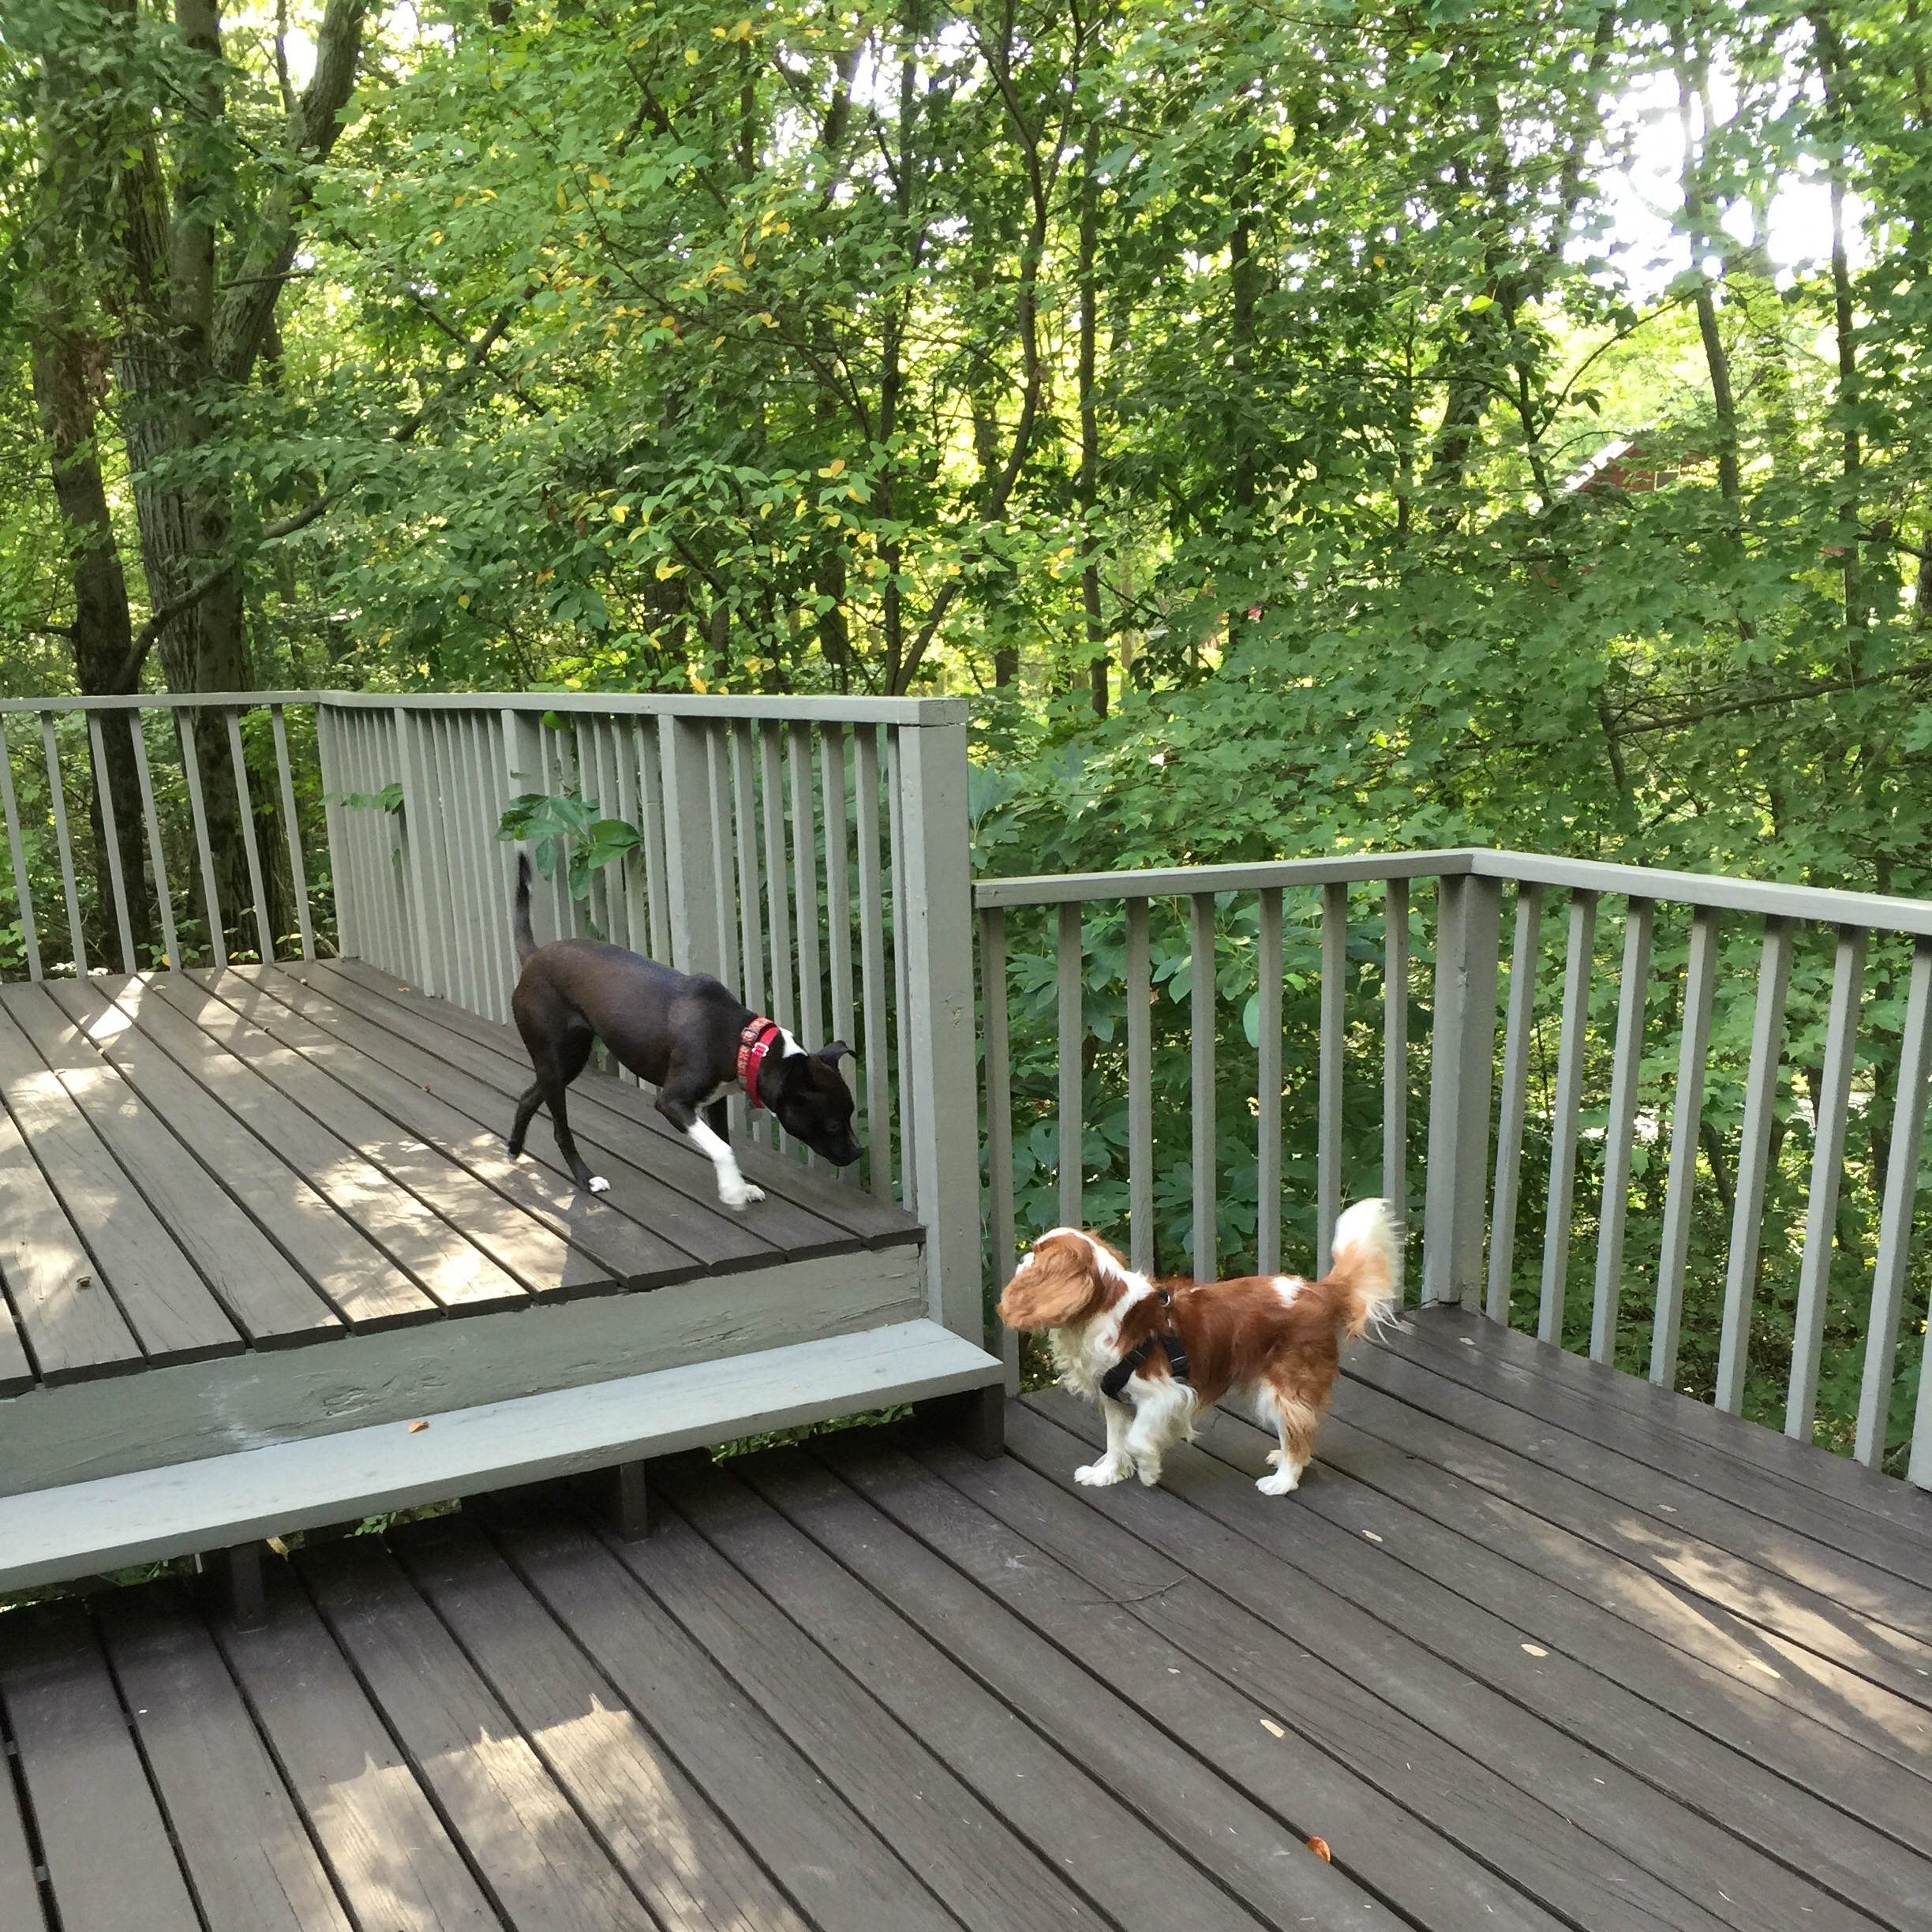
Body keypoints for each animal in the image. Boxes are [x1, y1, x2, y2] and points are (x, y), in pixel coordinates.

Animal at [506, 854, 861, 1197]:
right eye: (833, 1124)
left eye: (851, 1115)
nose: (858, 1151)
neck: (744, 1042)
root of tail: (533, 957)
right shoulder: (672, 1102)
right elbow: (722, 1148)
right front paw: (733, 1192)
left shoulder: (715, 1101)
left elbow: (724, 1142)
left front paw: (740, 1186)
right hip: (554, 1062)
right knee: (560, 1128)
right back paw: (585, 1178)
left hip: (569, 1061)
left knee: (527, 1098)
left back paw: (513, 1149)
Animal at [997, 1197, 1406, 1499]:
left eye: (1036, 1254)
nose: (1022, 1255)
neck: (1108, 1312)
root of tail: (1317, 1292)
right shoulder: (1113, 1395)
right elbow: (1116, 1439)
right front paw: (1109, 1473)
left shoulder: (1166, 1394)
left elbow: (1138, 1437)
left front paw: (1149, 1470)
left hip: (1285, 1384)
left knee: (1300, 1431)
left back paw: (1284, 1479)